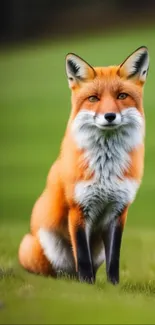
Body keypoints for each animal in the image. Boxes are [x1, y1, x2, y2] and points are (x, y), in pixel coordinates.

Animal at [18, 46, 149, 284]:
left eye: (121, 96)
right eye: (93, 98)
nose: (109, 116)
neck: (106, 168)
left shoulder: (119, 210)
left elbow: (114, 257)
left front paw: (113, 287)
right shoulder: (78, 209)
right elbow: (82, 253)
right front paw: (87, 285)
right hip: (46, 245)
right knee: (59, 270)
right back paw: (71, 281)